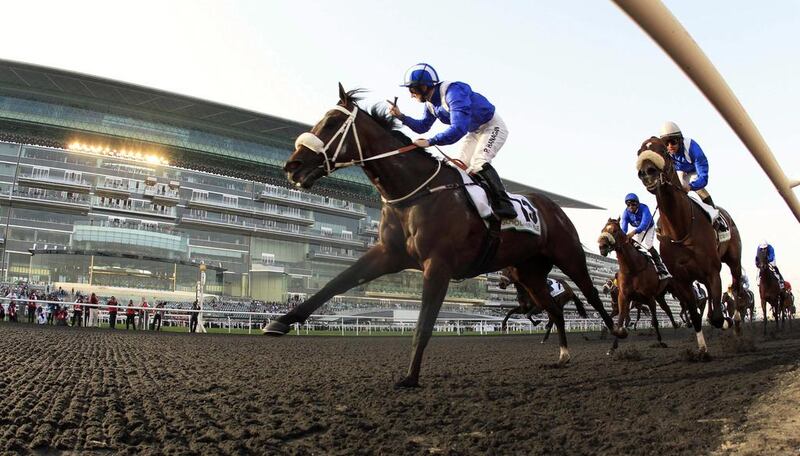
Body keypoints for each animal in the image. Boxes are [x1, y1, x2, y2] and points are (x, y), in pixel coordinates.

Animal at [266, 83, 616, 386]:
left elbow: (424, 323)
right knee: (555, 309)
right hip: (528, 272)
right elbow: (337, 282)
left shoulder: (438, 265)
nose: (292, 166)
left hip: (569, 257)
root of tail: (553, 207)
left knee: (593, 296)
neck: (413, 194)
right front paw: (281, 321)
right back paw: (563, 354)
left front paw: (410, 377)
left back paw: (615, 339)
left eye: (331, 123)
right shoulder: (388, 254)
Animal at [636, 136, 748, 356]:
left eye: (663, 150)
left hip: (733, 260)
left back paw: (737, 321)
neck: (680, 229)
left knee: (737, 285)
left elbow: (718, 317)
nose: (646, 172)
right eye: (638, 152)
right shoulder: (682, 280)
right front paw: (702, 350)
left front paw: (726, 322)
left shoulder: (713, 270)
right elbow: (696, 314)